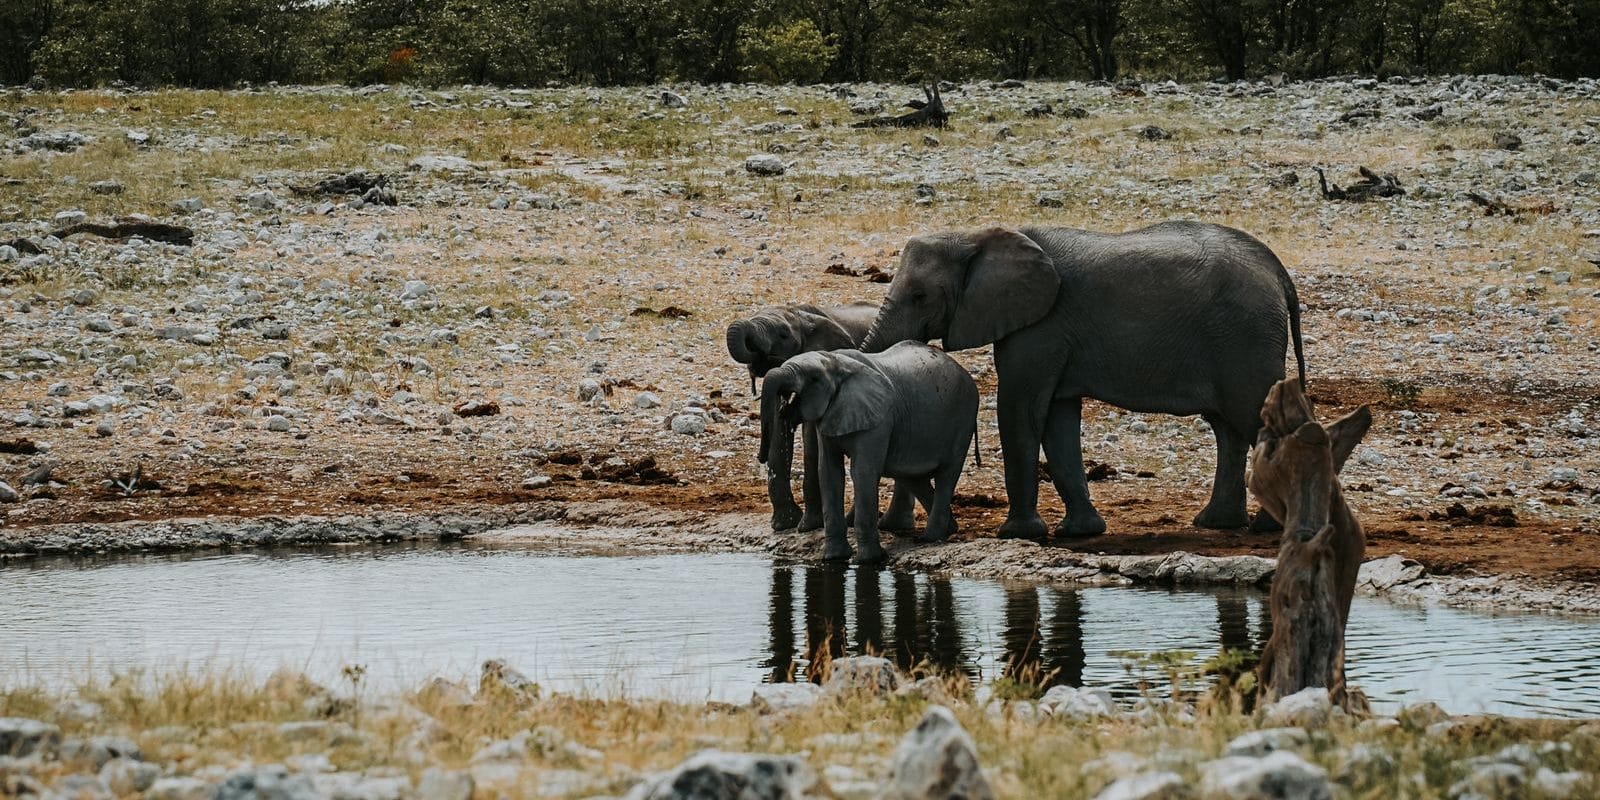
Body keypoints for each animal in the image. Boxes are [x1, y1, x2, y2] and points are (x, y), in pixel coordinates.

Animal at [726, 302, 915, 534]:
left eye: (783, 334)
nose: (760, 457)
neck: (800, 314)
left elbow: (811, 435)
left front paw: (809, 526)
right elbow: (779, 423)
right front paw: (784, 524)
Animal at [755, 342, 979, 563]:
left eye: (814, 378)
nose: (761, 457)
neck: (834, 361)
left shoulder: (879, 419)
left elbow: (863, 472)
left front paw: (867, 561)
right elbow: (829, 473)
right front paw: (833, 558)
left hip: (963, 419)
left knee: (946, 474)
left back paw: (930, 538)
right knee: (910, 476)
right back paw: (947, 529)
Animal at [864, 222, 1299, 540]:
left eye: (919, 296)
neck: (975, 235)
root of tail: (1277, 270)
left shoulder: (1042, 326)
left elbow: (1020, 410)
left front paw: (1018, 534)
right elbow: (1057, 421)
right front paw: (1079, 532)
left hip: (1245, 336)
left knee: (1252, 418)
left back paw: (1270, 527)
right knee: (1228, 429)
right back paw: (1217, 524)